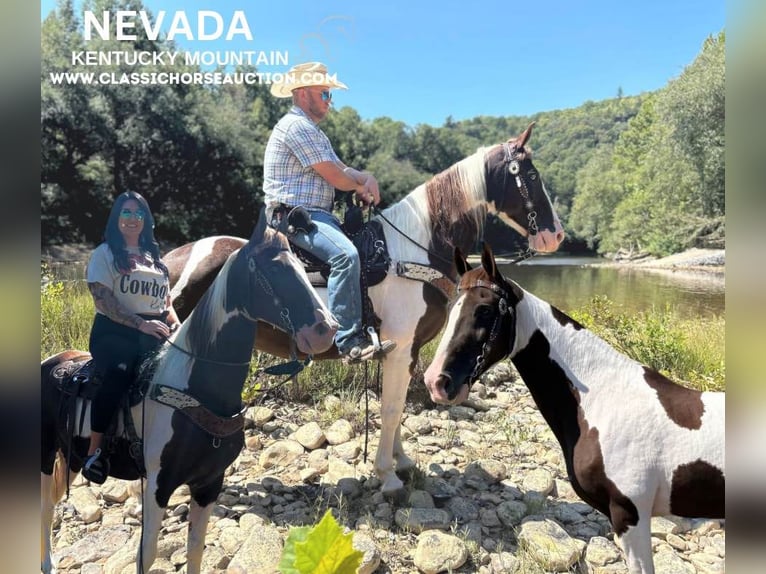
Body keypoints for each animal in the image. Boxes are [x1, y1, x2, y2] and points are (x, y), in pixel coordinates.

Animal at [40, 216, 338, 574]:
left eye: (301, 267)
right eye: (274, 268)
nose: (326, 330)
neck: (195, 391)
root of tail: (51, 362)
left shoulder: (209, 484)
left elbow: (196, 548)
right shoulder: (158, 484)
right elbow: (148, 553)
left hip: (72, 456)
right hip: (45, 455)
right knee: (43, 509)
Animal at [165, 124, 568, 498]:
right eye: (532, 175)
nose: (557, 235)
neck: (415, 249)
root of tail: (172, 259)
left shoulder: (409, 351)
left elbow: (399, 405)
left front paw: (402, 461)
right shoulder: (400, 348)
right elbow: (390, 409)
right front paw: (387, 475)